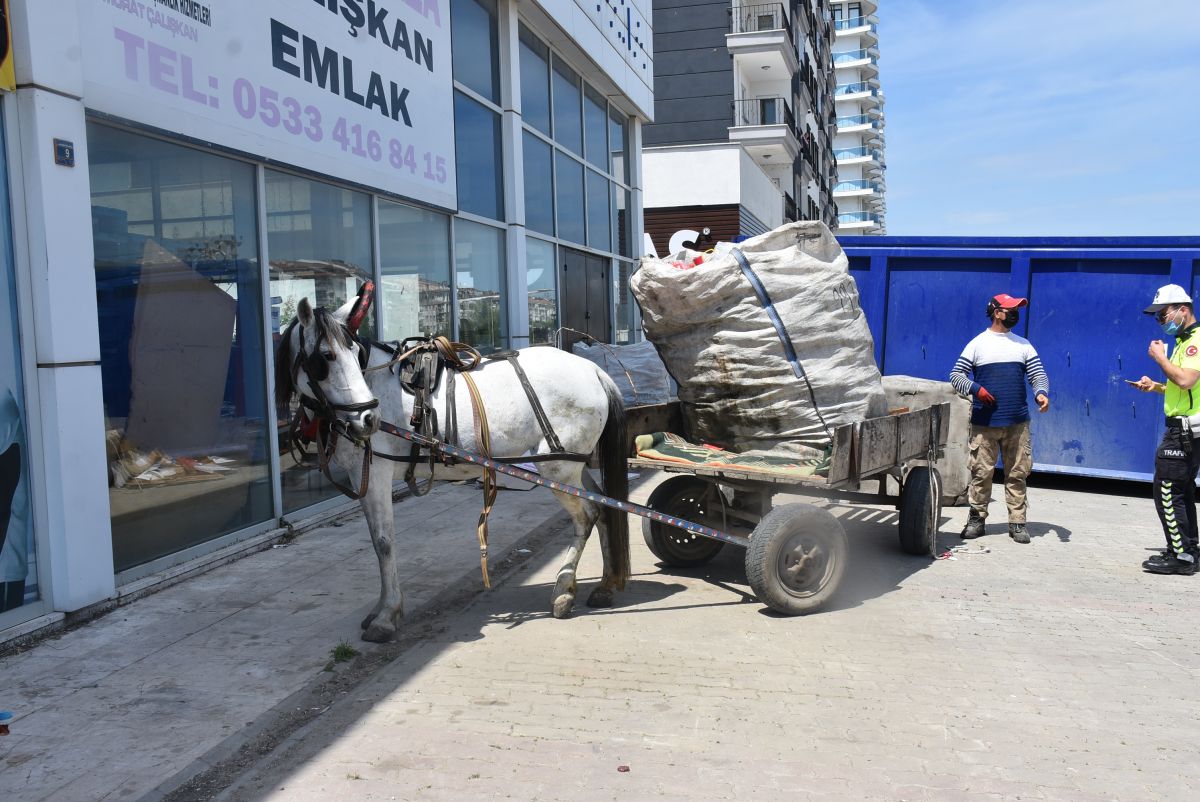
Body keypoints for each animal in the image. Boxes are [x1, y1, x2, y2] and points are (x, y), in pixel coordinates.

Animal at [272, 297, 628, 643]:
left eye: (351, 352)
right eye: (326, 356)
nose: (368, 420)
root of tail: (593, 370)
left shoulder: (376, 475)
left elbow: (384, 543)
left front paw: (387, 616)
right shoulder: (362, 478)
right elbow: (376, 541)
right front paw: (380, 610)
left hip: (558, 470)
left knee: (586, 516)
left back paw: (563, 593)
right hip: (571, 468)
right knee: (605, 508)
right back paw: (606, 585)